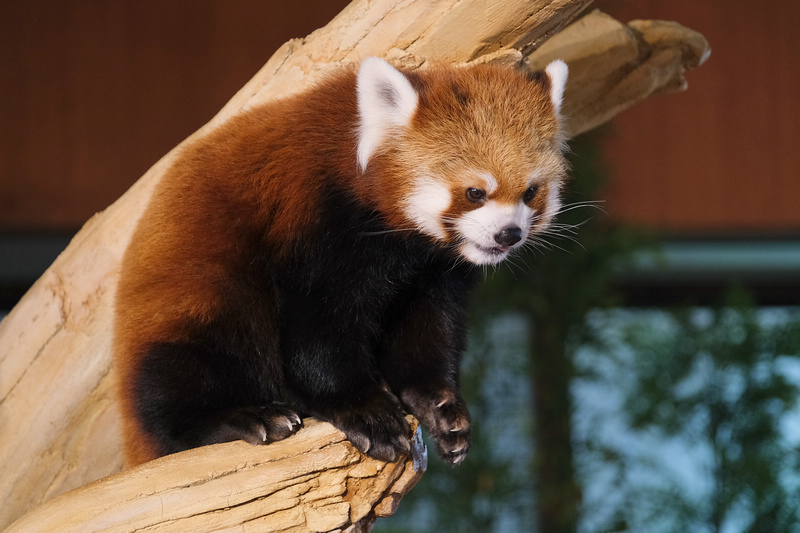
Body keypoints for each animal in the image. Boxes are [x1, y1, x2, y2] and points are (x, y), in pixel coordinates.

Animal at [114, 57, 568, 466]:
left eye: (530, 193)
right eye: (475, 192)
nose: (509, 234)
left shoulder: (431, 271)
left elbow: (429, 327)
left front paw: (439, 404)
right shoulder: (320, 223)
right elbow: (317, 328)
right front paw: (364, 410)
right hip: (200, 292)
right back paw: (240, 418)